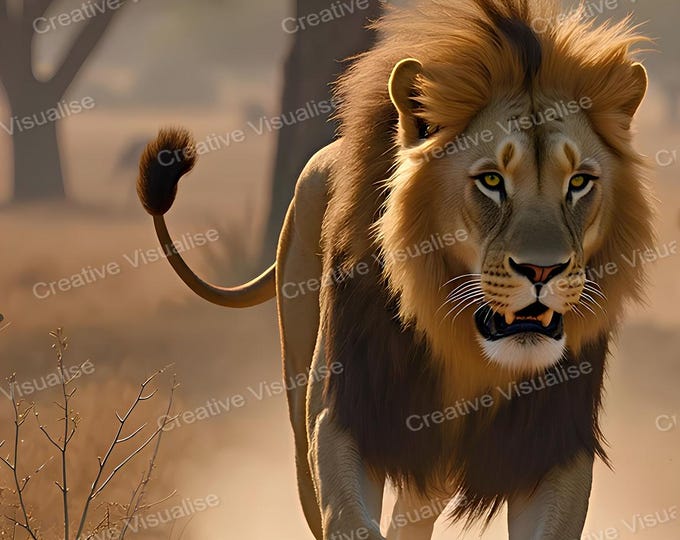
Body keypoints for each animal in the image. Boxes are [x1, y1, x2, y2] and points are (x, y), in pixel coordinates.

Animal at [137, 0, 655, 538]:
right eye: (491, 180)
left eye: (579, 182)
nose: (541, 270)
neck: (465, 349)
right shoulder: (343, 417)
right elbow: (350, 517)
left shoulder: (555, 445)